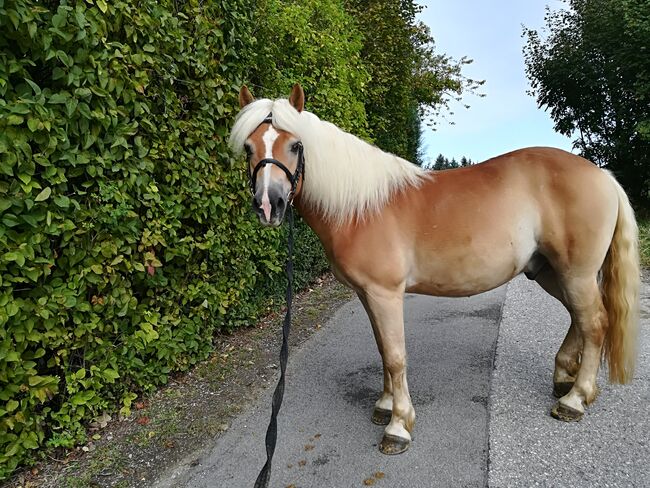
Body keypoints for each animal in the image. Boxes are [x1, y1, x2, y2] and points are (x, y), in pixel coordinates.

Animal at [229, 83, 636, 454]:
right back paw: (564, 377)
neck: (361, 207)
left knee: (595, 323)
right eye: (249, 148)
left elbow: (396, 356)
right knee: (579, 319)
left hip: (575, 274)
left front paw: (398, 426)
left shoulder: (385, 294)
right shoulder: (367, 295)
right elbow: (383, 349)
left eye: (296, 146)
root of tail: (603, 176)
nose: (269, 205)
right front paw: (385, 405)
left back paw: (575, 400)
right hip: (552, 273)